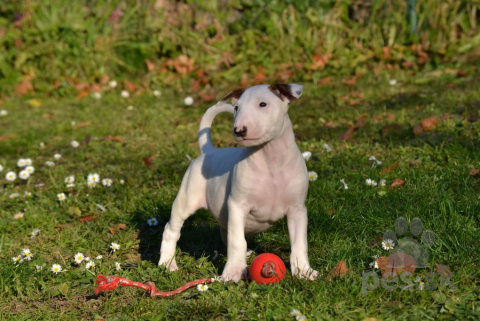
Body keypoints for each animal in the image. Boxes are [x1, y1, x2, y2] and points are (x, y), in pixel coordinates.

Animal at [158, 84, 320, 282]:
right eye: (236, 108)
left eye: (263, 104)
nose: (239, 130)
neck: (271, 160)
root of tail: (208, 151)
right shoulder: (237, 205)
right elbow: (237, 241)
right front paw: (233, 273)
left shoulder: (297, 210)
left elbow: (299, 243)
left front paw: (304, 271)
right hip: (186, 200)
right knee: (171, 230)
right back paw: (167, 263)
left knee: (225, 230)